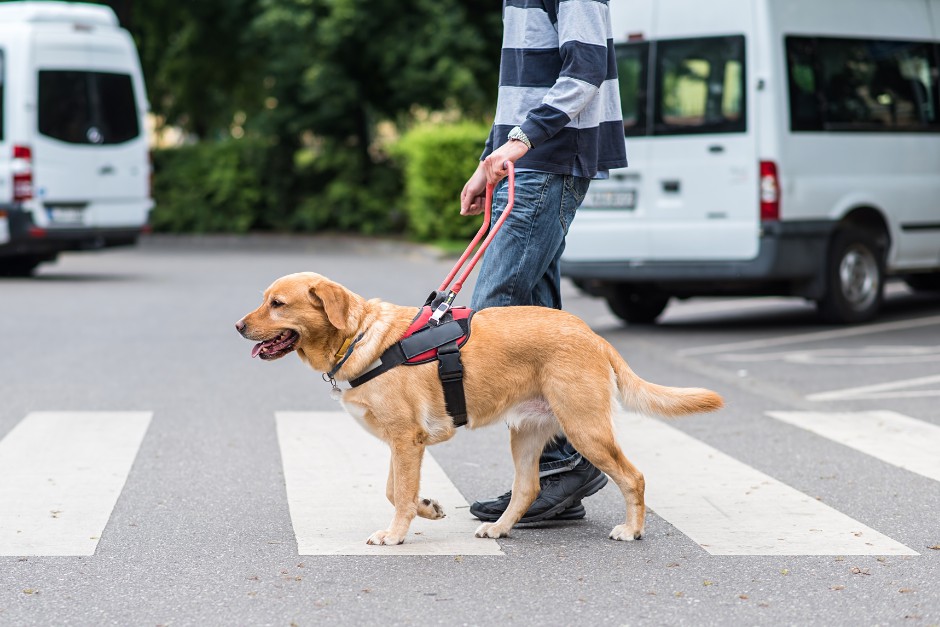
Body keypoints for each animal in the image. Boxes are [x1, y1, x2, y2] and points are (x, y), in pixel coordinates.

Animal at [235, 272, 720, 548]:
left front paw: (395, 534)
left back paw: (631, 530)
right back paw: (499, 528)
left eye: (278, 304)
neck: (359, 336)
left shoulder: (406, 440)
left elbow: (399, 494)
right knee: (527, 488)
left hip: (585, 427)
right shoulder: (401, 442)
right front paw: (427, 508)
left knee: (633, 476)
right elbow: (396, 491)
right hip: (525, 433)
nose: (238, 326)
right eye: (264, 299)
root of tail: (591, 334)